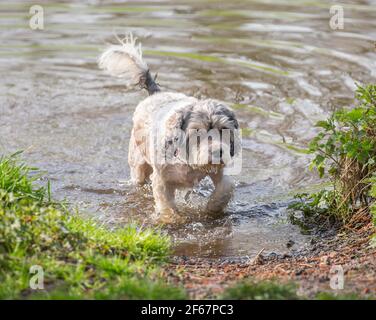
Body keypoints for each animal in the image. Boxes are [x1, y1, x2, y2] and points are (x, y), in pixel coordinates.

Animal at [99, 32, 241, 222]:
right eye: (197, 132)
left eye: (223, 130)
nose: (217, 152)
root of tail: (156, 93)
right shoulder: (161, 179)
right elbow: (165, 202)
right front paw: (171, 219)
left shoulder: (218, 173)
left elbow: (225, 187)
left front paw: (212, 209)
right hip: (138, 164)